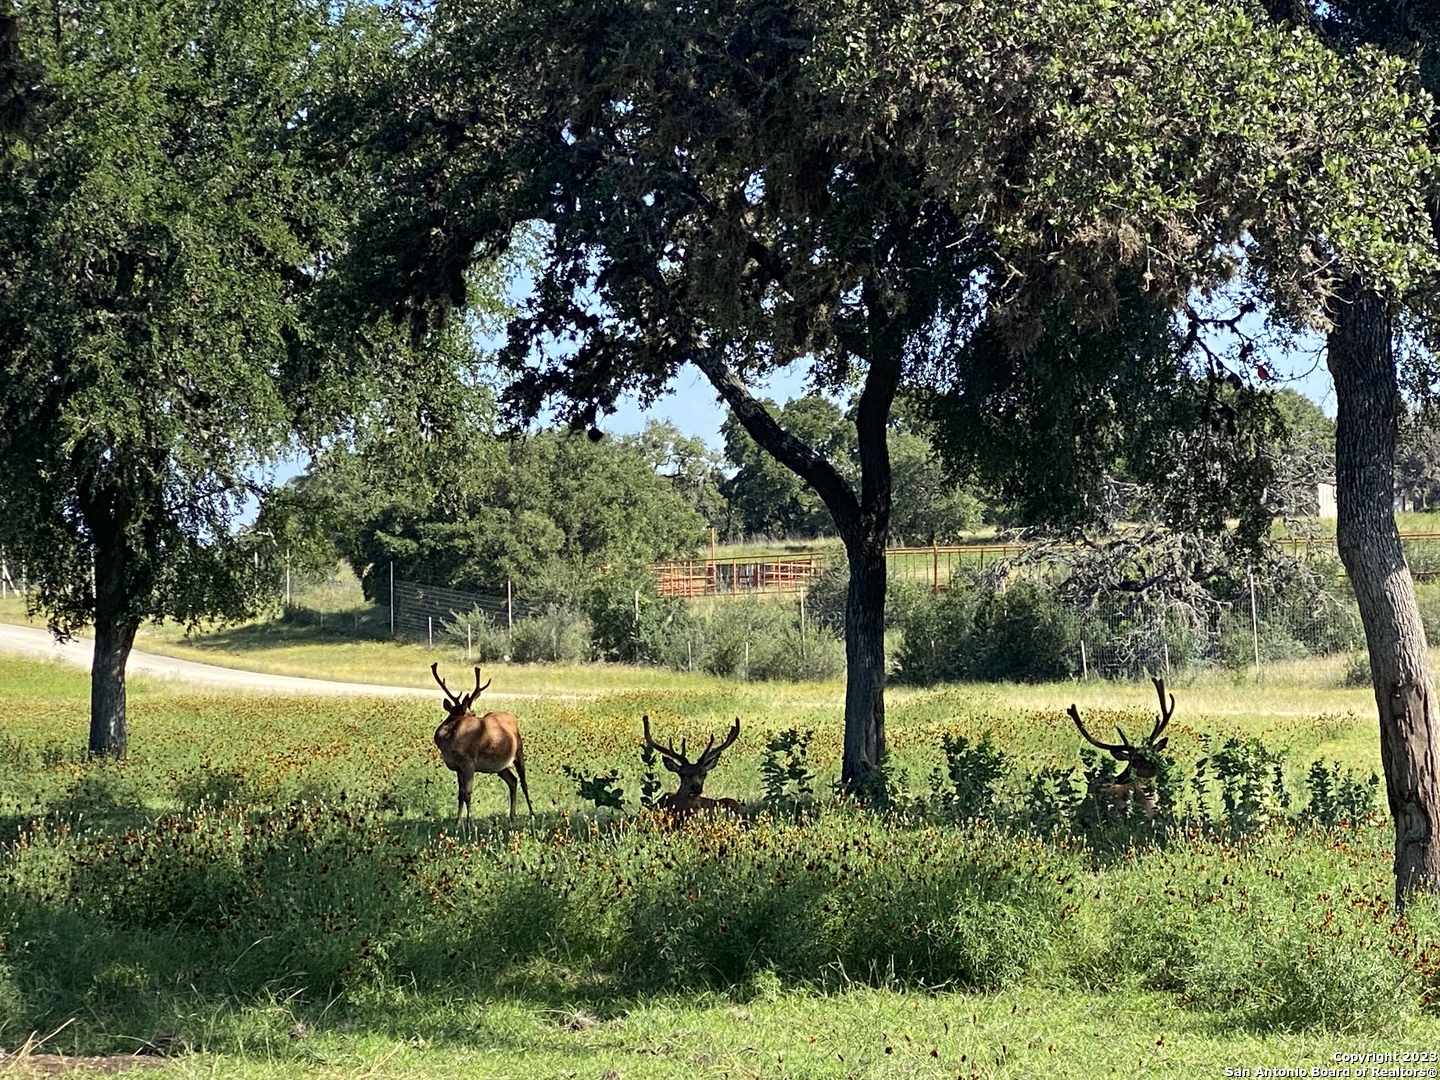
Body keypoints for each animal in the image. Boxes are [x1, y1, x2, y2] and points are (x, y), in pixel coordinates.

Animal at [431, 663, 533, 823]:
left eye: (473, 713)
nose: (474, 714)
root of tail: (513, 718)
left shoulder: (469, 762)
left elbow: (467, 793)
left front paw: (469, 823)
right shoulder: (457, 767)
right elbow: (460, 795)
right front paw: (457, 821)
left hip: (519, 751)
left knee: (524, 782)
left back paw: (531, 814)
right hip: (500, 766)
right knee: (513, 780)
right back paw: (512, 816)